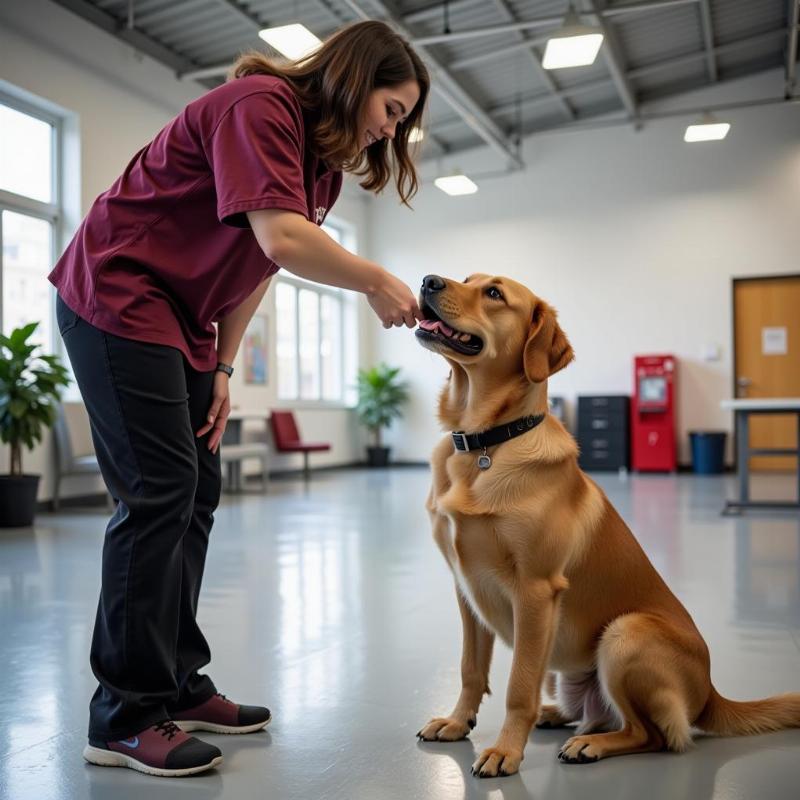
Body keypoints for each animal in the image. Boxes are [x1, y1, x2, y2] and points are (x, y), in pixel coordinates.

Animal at [412, 274, 800, 776]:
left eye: (495, 293)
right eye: (466, 279)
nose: (427, 280)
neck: (485, 445)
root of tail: (711, 693)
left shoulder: (535, 591)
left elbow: (519, 685)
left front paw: (505, 750)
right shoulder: (465, 587)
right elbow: (470, 669)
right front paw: (459, 722)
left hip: (624, 634)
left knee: (652, 735)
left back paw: (590, 745)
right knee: (595, 714)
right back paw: (558, 716)